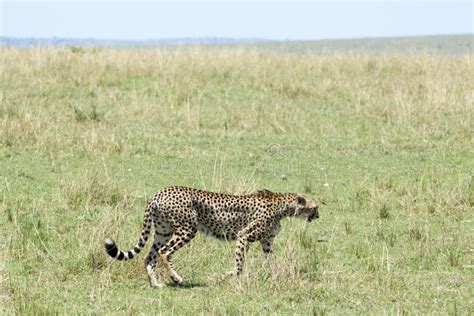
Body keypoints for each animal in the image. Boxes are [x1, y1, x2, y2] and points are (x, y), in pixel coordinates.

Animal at [103, 185, 318, 286]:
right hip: (187, 229)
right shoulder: (244, 235)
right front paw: (223, 277)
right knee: (164, 252)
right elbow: (239, 265)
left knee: (150, 256)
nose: (318, 215)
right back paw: (176, 278)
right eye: (314, 207)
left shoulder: (266, 241)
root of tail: (160, 192)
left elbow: (272, 261)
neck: (284, 206)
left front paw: (276, 276)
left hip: (163, 232)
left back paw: (156, 284)